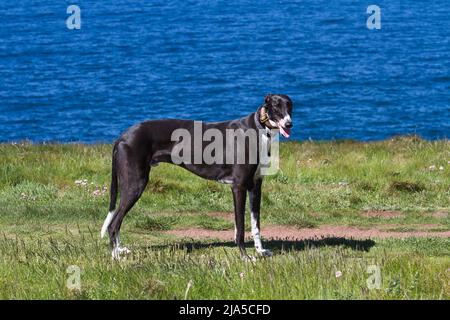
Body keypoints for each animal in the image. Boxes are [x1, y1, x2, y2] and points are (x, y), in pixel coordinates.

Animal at [100, 94, 294, 258]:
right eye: (276, 106)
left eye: (290, 106)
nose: (289, 124)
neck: (259, 129)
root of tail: (122, 137)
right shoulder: (238, 186)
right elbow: (239, 227)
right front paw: (245, 257)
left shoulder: (255, 185)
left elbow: (256, 224)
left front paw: (260, 251)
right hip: (135, 185)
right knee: (113, 223)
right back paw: (116, 256)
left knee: (116, 222)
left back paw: (120, 250)